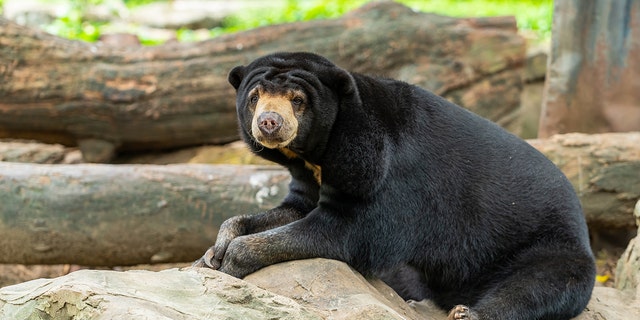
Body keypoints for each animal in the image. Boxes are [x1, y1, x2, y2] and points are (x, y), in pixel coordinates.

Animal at [194, 51, 596, 318]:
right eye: (254, 97)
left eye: (298, 100)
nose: (270, 123)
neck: (321, 151)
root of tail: (581, 222)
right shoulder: (311, 176)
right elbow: (293, 209)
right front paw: (213, 251)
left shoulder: (383, 171)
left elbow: (350, 231)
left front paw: (235, 257)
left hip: (549, 246)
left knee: (537, 287)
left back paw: (468, 312)